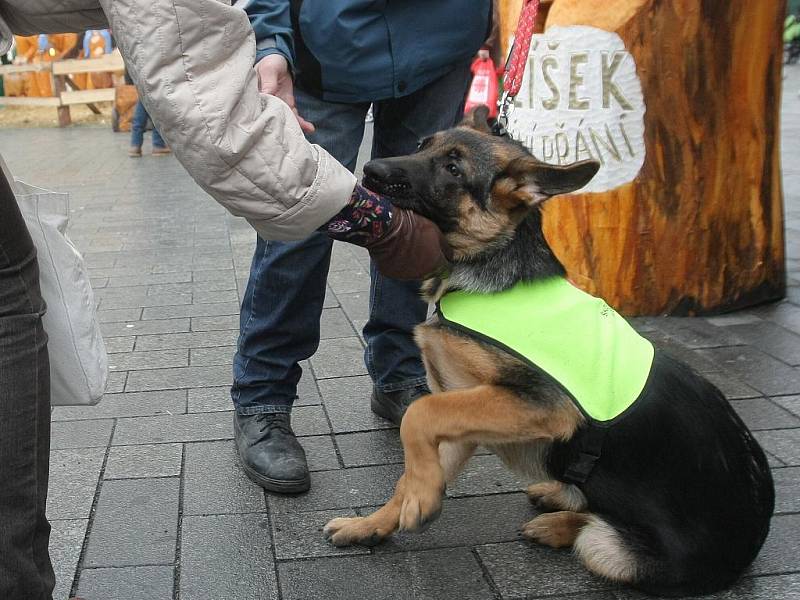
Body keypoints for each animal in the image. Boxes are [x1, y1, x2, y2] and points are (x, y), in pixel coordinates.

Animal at [324, 109, 776, 600]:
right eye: (424, 145)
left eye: (453, 168)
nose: (370, 170)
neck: (489, 266)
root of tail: (755, 541)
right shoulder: (462, 411)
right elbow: (410, 465)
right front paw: (378, 521)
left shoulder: (537, 404)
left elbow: (418, 415)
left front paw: (419, 499)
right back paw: (556, 499)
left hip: (608, 549)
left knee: (594, 530)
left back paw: (558, 522)